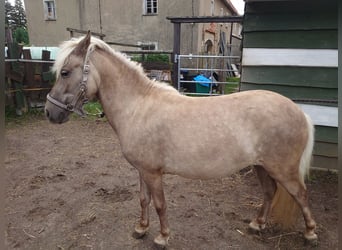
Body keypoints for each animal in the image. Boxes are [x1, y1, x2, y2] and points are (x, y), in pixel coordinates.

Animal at [44, 32, 316, 247]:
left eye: (65, 72)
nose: (49, 112)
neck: (138, 107)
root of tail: (299, 111)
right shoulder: (142, 170)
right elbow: (143, 200)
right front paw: (141, 229)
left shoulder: (153, 173)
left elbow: (160, 204)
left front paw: (162, 237)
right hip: (262, 166)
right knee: (270, 192)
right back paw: (257, 224)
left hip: (283, 169)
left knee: (301, 195)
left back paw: (310, 234)